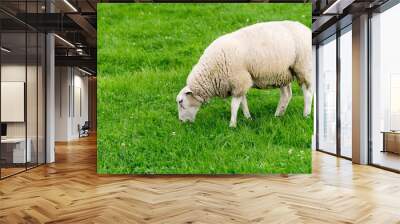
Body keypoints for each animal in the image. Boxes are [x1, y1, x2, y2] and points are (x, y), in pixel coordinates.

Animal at [176, 20, 312, 127]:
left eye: (181, 102)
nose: (181, 122)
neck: (211, 72)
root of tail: (306, 29)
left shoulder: (239, 81)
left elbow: (234, 105)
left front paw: (232, 125)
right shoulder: (240, 83)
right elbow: (243, 103)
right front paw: (248, 118)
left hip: (303, 67)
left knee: (308, 92)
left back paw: (306, 115)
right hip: (283, 73)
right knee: (286, 95)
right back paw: (278, 115)